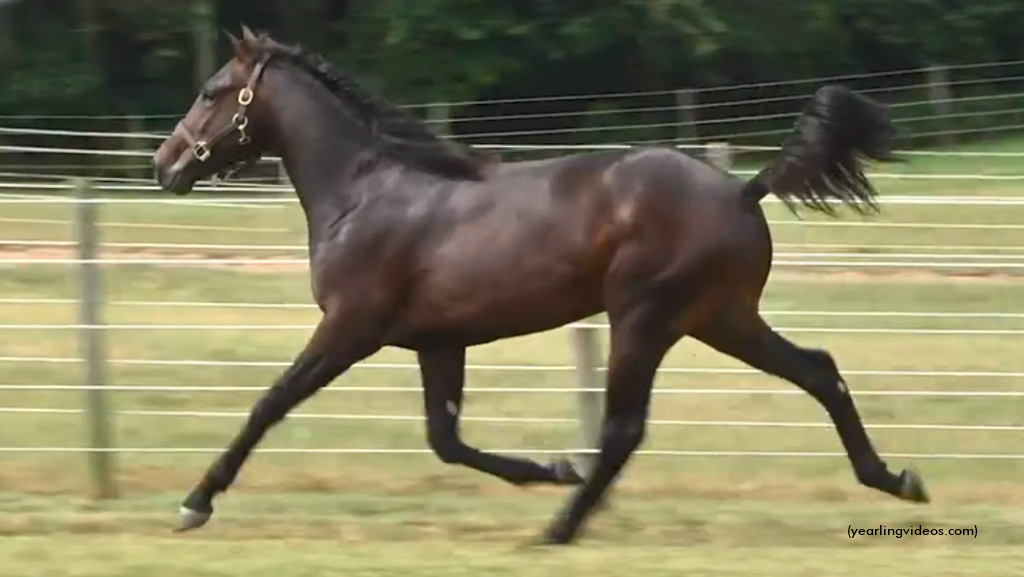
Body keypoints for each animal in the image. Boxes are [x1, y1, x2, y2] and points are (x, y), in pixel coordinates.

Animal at [149, 23, 929, 545]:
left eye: (212, 91)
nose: (164, 165)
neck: (365, 192)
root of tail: (742, 189)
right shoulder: (438, 342)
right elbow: (446, 439)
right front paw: (550, 468)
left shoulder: (349, 328)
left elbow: (268, 404)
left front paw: (195, 502)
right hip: (722, 318)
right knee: (819, 370)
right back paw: (895, 479)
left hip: (645, 317)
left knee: (624, 427)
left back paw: (560, 527)